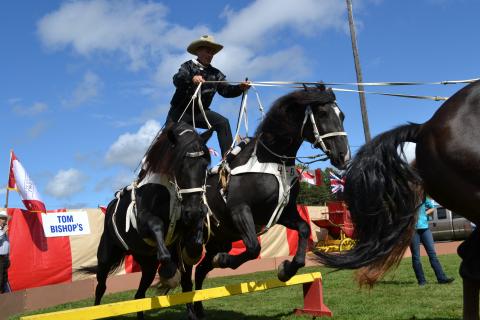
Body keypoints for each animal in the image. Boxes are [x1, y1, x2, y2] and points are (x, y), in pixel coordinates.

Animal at [81, 121, 212, 318]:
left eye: (204, 165)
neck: (168, 192)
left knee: (139, 296)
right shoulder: (144, 223)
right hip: (106, 257)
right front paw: (168, 272)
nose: (193, 210)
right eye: (180, 164)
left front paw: (193, 251)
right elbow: (157, 226)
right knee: (100, 287)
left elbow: (194, 241)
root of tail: (109, 207)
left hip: (147, 264)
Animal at [182, 85, 350, 320]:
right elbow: (254, 247)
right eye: (323, 113)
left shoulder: (284, 213)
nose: (344, 156)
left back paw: (199, 308)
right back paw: (191, 311)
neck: (269, 161)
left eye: (341, 115)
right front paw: (225, 261)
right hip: (188, 244)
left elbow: (304, 229)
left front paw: (286, 270)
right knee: (186, 277)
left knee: (200, 271)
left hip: (219, 241)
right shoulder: (240, 211)